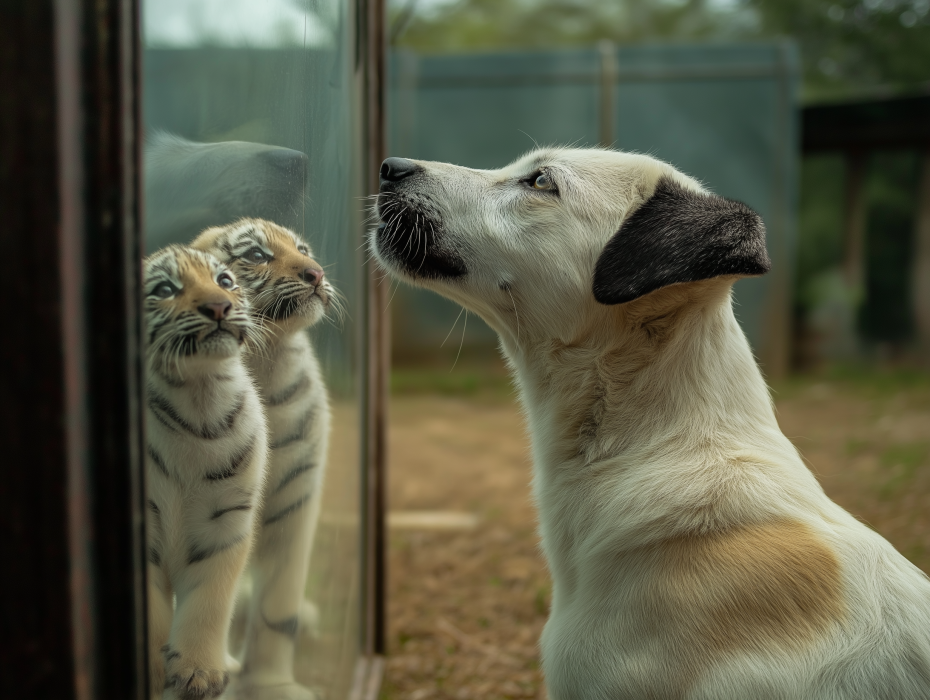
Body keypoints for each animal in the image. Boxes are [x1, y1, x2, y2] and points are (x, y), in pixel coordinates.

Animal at [143, 245, 269, 700]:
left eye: (225, 281)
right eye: (164, 289)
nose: (219, 306)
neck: (199, 398)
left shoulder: (225, 524)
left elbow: (208, 603)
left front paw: (200, 672)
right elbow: (152, 611)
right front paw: (154, 674)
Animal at [192, 218, 336, 700]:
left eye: (303, 249)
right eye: (257, 255)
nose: (316, 273)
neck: (266, 364)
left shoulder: (295, 501)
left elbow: (277, 610)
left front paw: (273, 686)